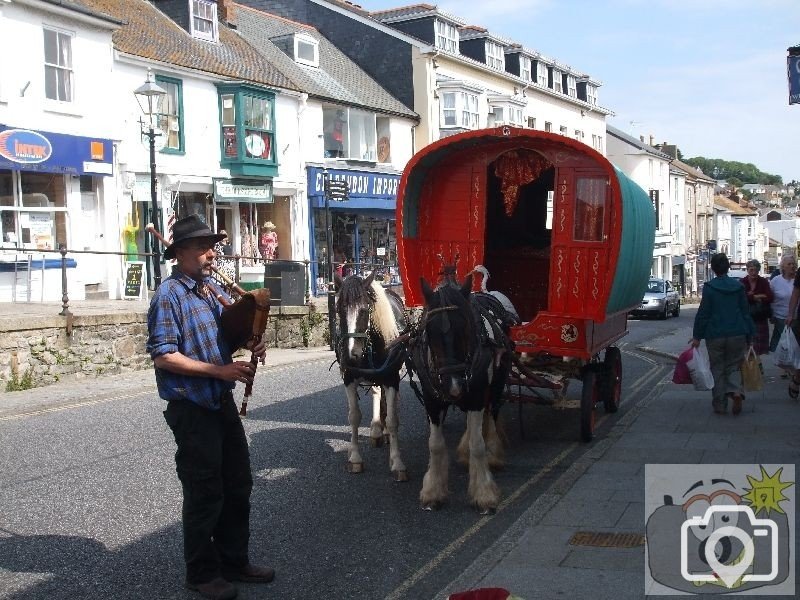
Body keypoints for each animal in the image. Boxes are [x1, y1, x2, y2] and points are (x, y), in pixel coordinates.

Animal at [334, 272, 410, 482]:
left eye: (364, 310)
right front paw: (355, 457)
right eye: (339, 309)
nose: (351, 354)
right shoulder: (349, 378)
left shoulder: (391, 378)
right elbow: (354, 416)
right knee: (377, 391)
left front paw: (397, 461)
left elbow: (393, 420)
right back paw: (376, 429)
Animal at [410, 266, 516, 510]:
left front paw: (484, 492)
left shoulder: (476, 394)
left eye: (466, 325)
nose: (454, 385)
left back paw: (493, 453)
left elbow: (478, 445)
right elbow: (435, 444)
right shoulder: (431, 399)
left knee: (492, 412)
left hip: (496, 382)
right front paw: (433, 490)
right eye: (429, 329)